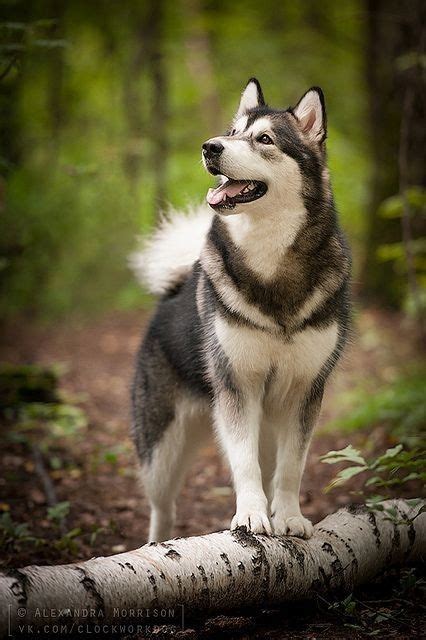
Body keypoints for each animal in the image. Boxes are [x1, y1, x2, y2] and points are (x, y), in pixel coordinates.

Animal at [130, 77, 350, 544]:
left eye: (264, 139)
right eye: (232, 132)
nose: (210, 146)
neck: (269, 259)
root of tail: (174, 288)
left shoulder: (305, 390)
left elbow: (291, 467)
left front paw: (289, 517)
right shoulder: (237, 387)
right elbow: (243, 463)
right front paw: (250, 516)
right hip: (161, 451)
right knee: (162, 506)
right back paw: (158, 545)